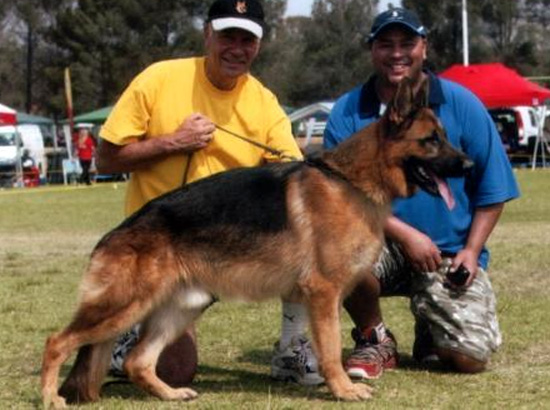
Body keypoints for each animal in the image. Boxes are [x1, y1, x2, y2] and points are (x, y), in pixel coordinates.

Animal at [41, 78, 473, 408]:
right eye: (431, 140)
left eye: (445, 138)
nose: (470, 165)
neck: (349, 182)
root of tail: (113, 235)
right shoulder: (323, 293)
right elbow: (331, 350)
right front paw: (344, 390)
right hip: (123, 306)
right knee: (57, 341)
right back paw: (49, 397)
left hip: (181, 308)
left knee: (137, 361)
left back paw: (170, 393)